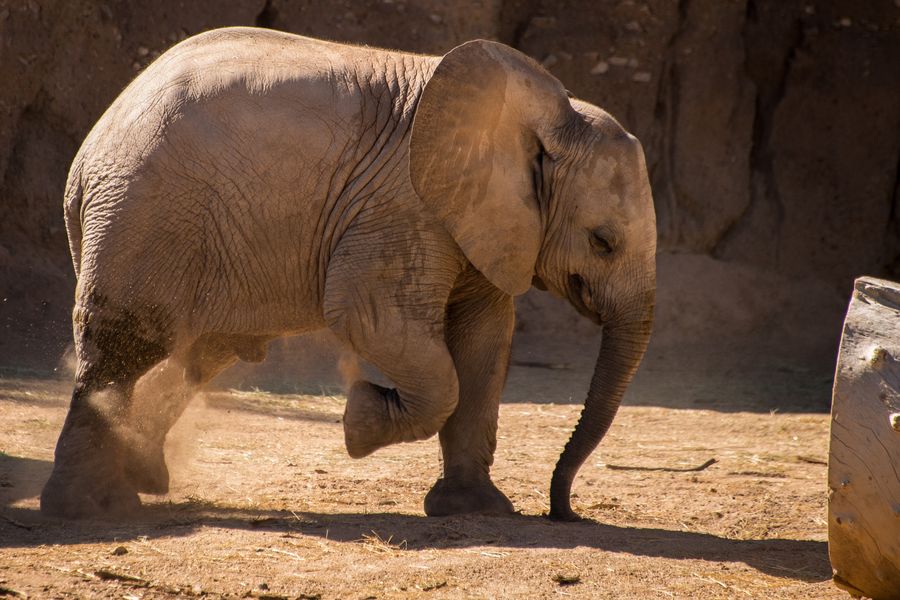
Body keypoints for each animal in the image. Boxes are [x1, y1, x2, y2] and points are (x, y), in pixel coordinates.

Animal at [40, 27, 652, 520]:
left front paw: (477, 510)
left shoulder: (481, 220)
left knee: (201, 351)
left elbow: (484, 341)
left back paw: (142, 477)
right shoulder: (404, 207)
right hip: (145, 211)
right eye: (602, 243)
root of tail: (93, 145)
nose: (563, 512)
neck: (544, 115)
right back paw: (92, 509)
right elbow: (373, 320)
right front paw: (358, 420)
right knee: (124, 347)